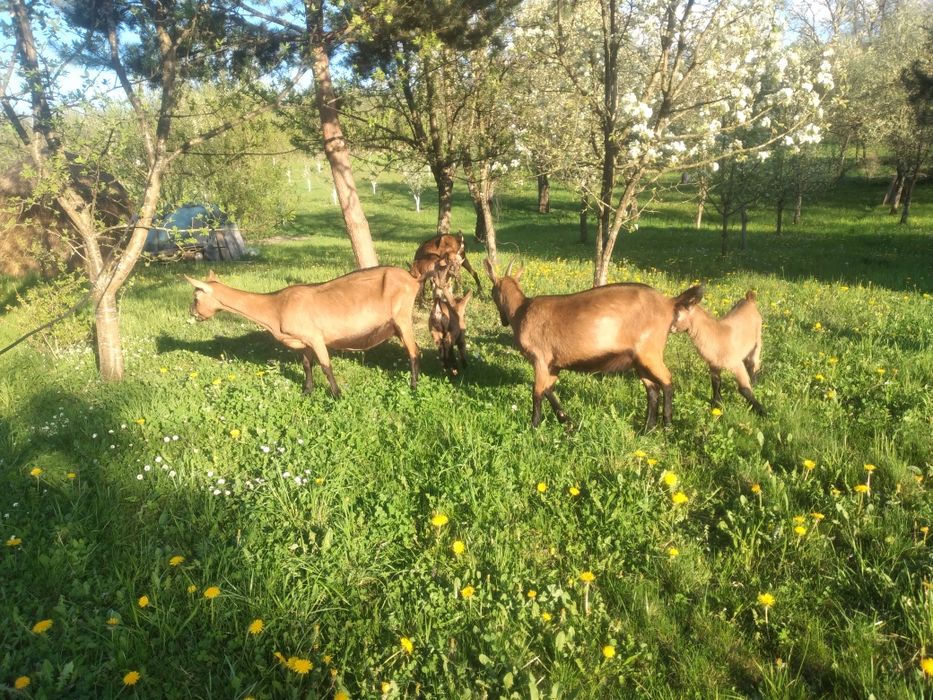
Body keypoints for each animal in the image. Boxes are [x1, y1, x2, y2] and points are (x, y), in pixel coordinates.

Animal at [185, 267, 434, 398]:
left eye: (196, 297)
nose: (192, 312)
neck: (275, 307)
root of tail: (413, 279)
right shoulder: (303, 341)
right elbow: (307, 365)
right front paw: (307, 391)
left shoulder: (316, 337)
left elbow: (326, 366)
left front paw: (337, 396)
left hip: (402, 317)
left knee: (414, 351)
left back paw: (413, 387)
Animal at [484, 259, 701, 429]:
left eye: (492, 291)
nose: (503, 321)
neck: (521, 310)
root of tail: (668, 303)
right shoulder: (554, 364)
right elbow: (548, 389)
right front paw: (566, 420)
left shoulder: (540, 358)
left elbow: (537, 392)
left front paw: (534, 426)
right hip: (640, 359)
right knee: (652, 389)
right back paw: (647, 429)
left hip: (650, 352)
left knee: (667, 380)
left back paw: (667, 425)